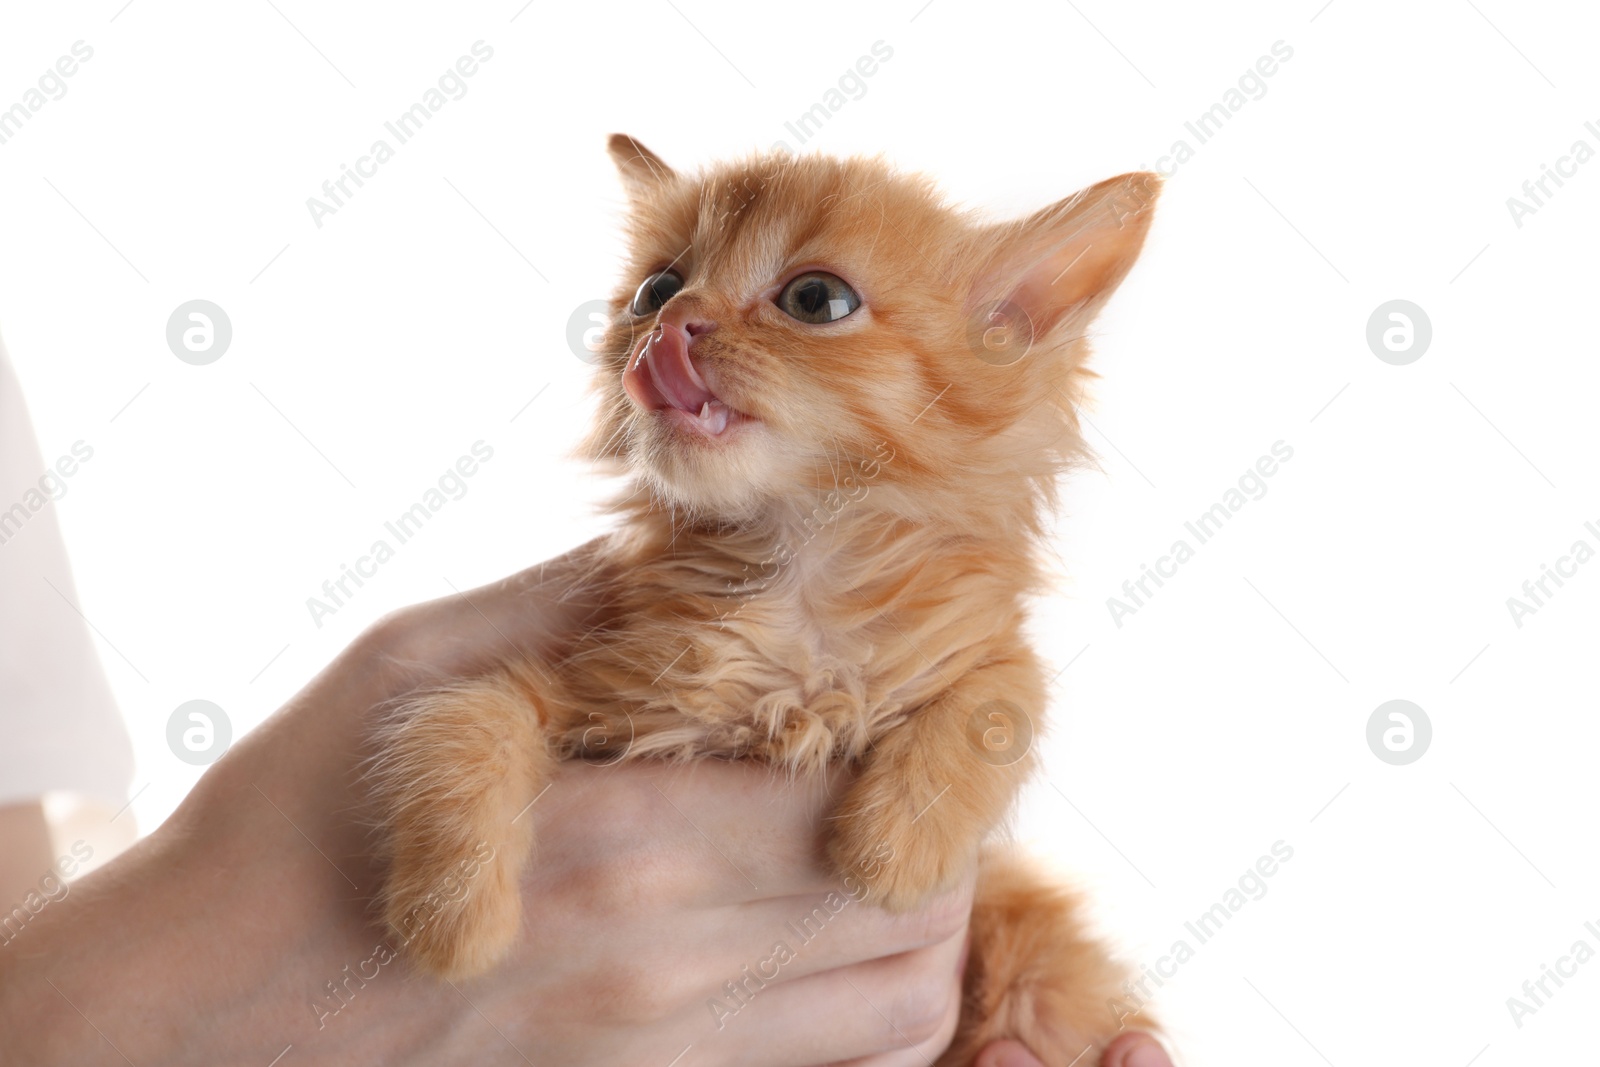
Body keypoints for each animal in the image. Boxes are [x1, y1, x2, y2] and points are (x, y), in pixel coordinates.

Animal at [368, 137, 1158, 1062]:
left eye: (816, 299)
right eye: (656, 288)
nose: (672, 323)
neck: (794, 577)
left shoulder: (973, 643)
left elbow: (1004, 695)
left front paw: (898, 842)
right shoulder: (580, 689)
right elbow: (464, 720)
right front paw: (453, 920)